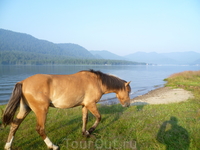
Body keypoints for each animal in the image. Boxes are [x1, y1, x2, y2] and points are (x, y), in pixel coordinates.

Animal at [3, 69, 131, 149]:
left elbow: (84, 119)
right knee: (40, 129)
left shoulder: (85, 105)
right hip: (41, 111)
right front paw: (90, 131)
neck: (97, 82)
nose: (128, 105)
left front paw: (85, 133)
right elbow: (99, 118)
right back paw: (52, 146)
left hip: (25, 108)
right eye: (128, 91)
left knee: (15, 124)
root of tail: (23, 82)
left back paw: (8, 146)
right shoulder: (91, 104)